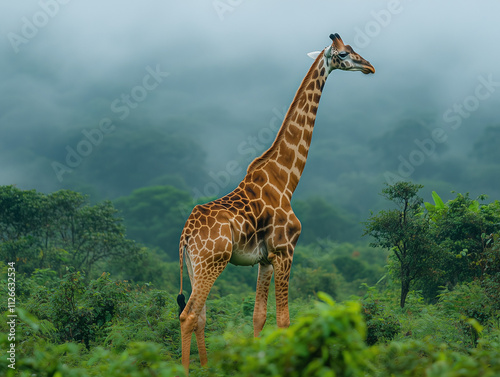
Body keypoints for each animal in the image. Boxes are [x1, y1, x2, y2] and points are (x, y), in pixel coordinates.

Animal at [178, 33, 374, 372]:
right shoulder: (286, 251)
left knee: (199, 316)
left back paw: (205, 368)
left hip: (194, 265)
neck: (286, 180)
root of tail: (186, 235)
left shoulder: (265, 259)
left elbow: (259, 317)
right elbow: (284, 320)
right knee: (188, 315)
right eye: (344, 54)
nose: (370, 67)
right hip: (211, 262)